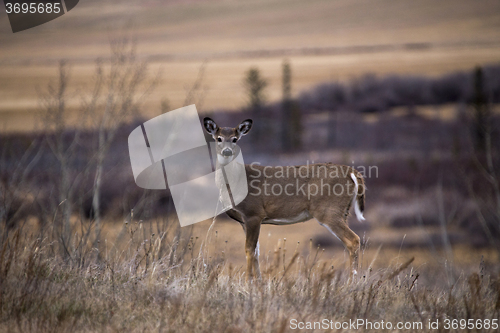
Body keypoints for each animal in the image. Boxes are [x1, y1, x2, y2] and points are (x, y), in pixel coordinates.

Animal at [201, 115, 366, 278]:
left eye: (235, 139)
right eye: (219, 138)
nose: (227, 151)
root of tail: (352, 172)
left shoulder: (254, 213)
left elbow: (249, 250)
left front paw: (249, 281)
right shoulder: (244, 220)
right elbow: (256, 252)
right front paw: (258, 282)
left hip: (328, 210)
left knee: (353, 240)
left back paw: (353, 280)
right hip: (342, 211)